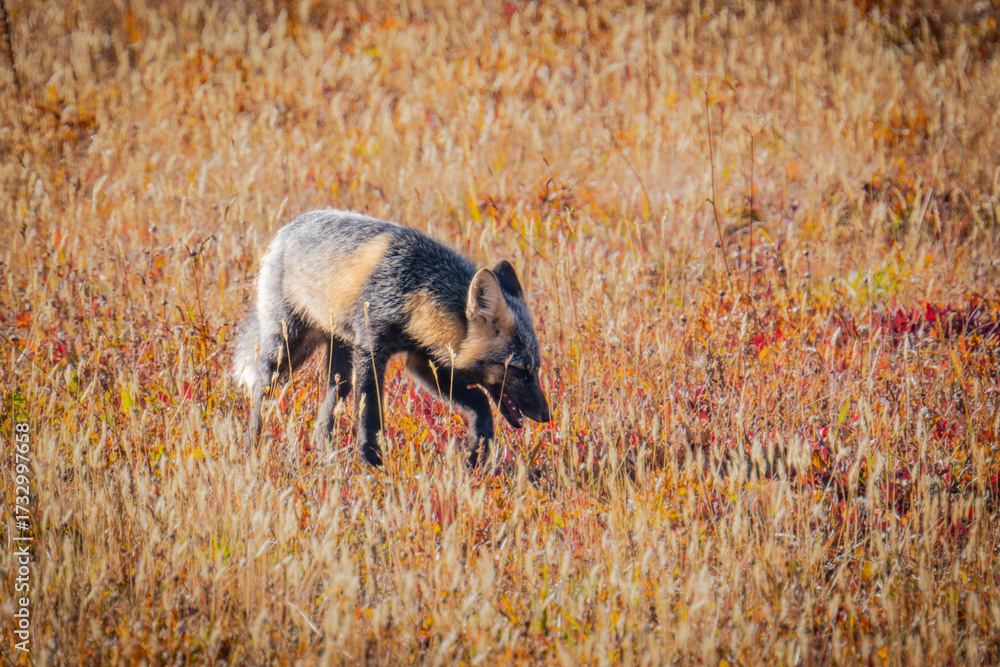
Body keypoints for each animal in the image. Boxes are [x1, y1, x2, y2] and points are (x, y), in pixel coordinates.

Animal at [232, 209, 552, 469]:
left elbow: (481, 402)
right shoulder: (370, 349)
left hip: (340, 367)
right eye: (518, 369)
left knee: (324, 418)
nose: (547, 415)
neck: (413, 289)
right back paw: (253, 447)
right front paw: (372, 463)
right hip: (285, 350)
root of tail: (286, 229)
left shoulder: (424, 361)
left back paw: (327, 456)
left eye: (535, 369)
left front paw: (476, 456)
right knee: (260, 389)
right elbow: (371, 414)